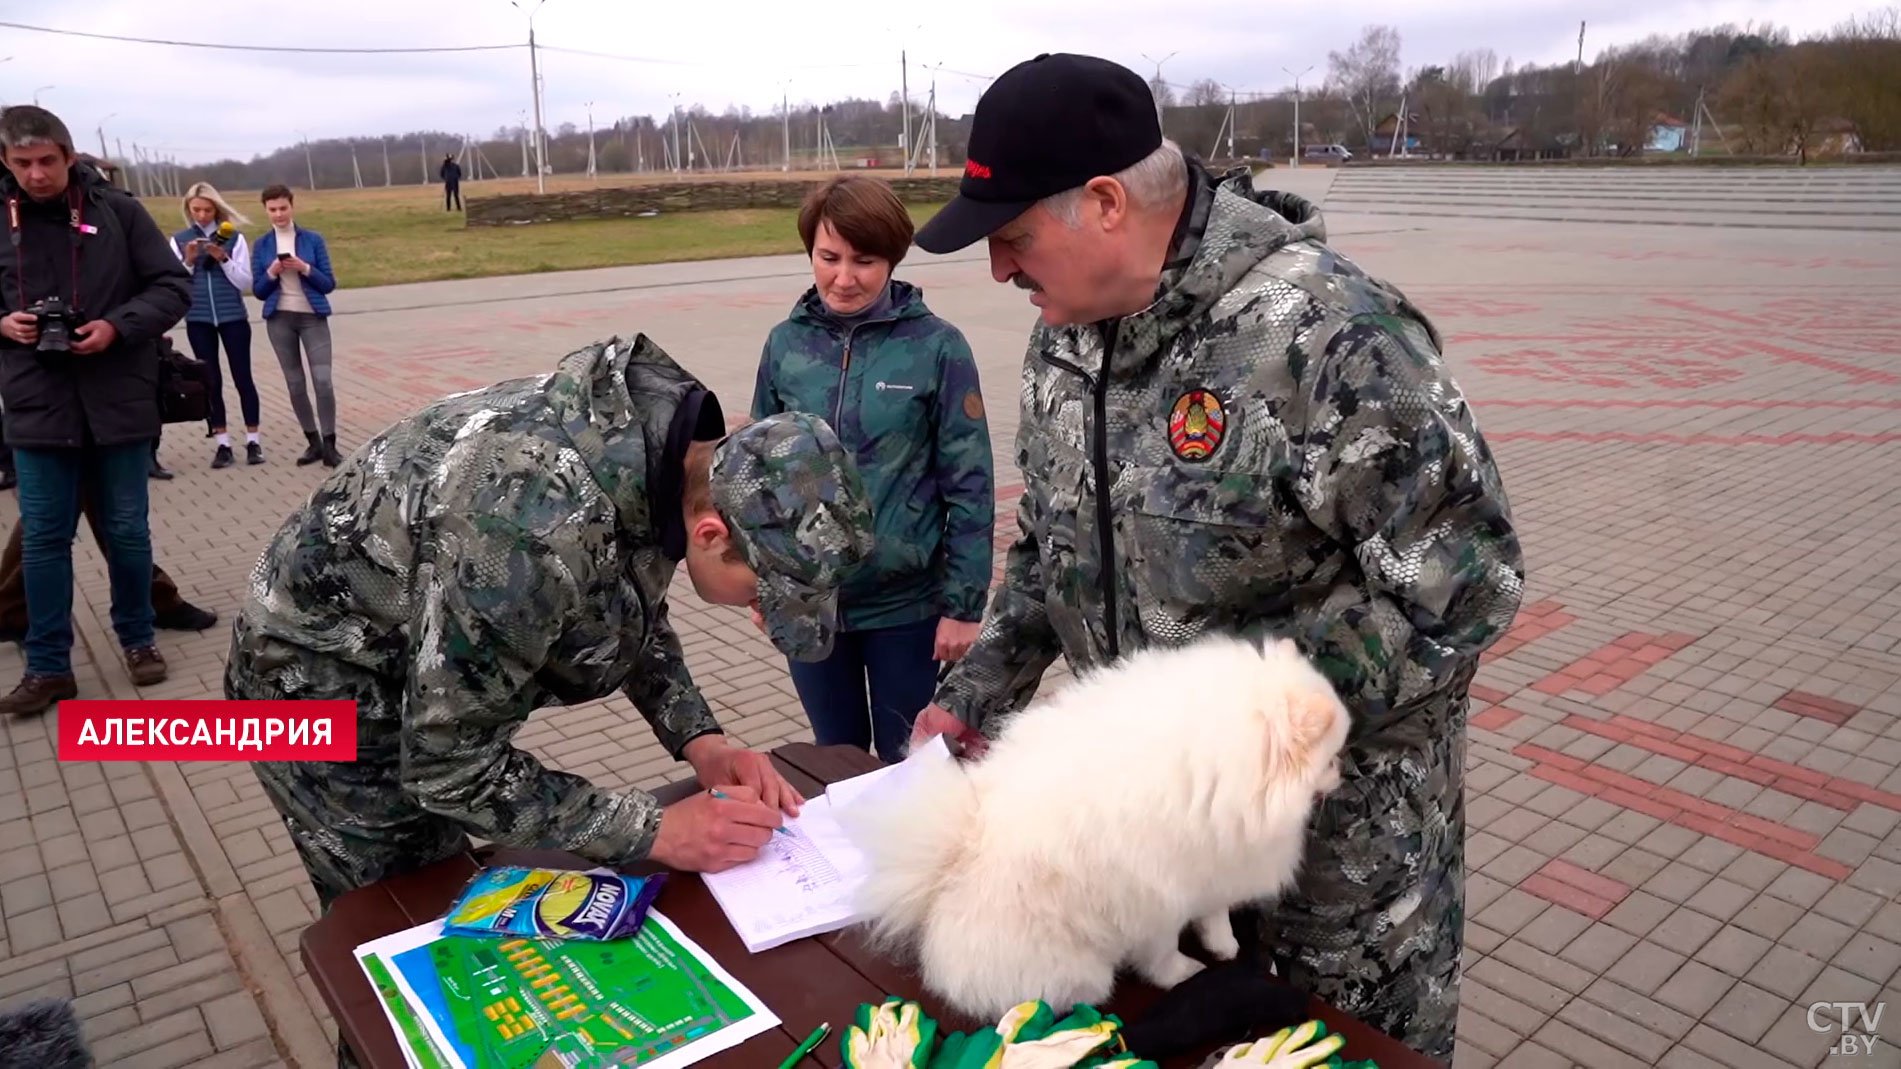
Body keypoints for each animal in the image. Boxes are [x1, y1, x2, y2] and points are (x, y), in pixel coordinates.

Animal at [844, 631, 1353, 1011]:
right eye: (1330, 758)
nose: (1343, 775)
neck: (1225, 770)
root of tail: (950, 867)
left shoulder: (1214, 861)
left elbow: (1215, 913)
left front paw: (1224, 945)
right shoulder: (1154, 893)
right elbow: (1162, 950)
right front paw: (1183, 973)